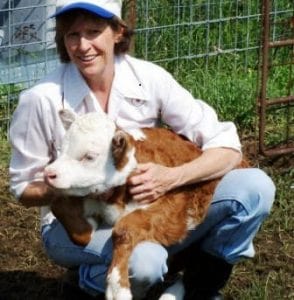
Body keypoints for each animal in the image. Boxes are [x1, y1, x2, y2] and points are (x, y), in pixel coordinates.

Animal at [44, 110, 248, 300]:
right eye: (61, 148)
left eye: (89, 156)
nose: (48, 173)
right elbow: (60, 207)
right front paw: (89, 227)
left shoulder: (173, 207)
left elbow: (124, 228)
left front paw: (118, 288)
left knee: (199, 270)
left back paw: (172, 294)